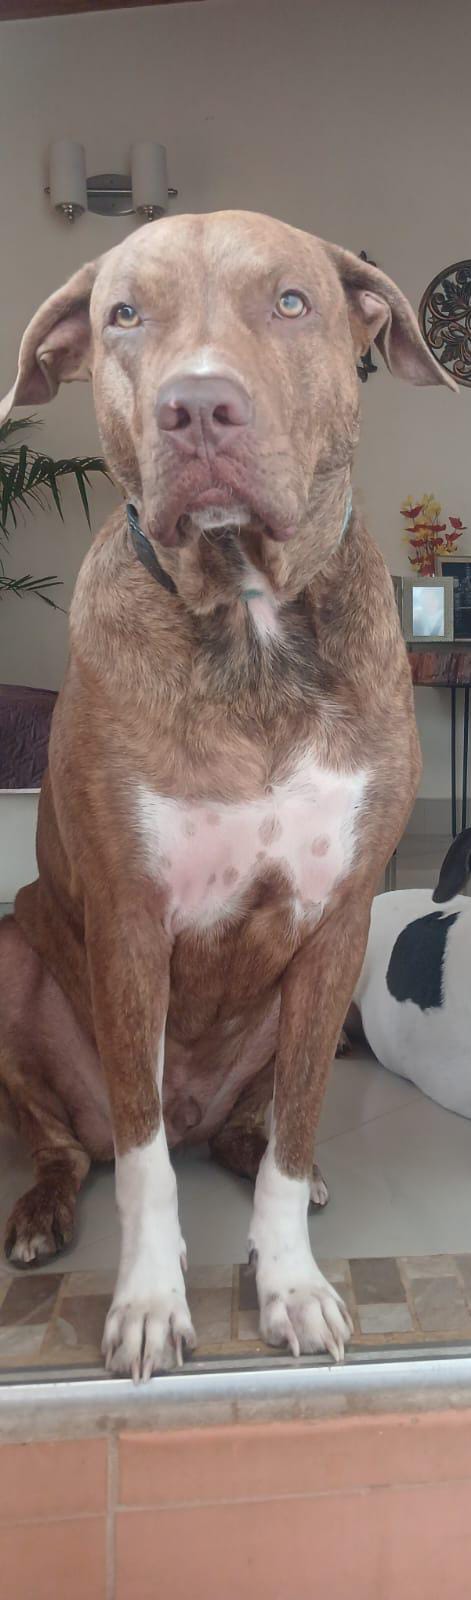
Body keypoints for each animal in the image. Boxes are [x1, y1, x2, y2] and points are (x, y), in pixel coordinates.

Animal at [0, 211, 455, 1378]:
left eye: (290, 301)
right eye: (124, 313)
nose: (197, 405)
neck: (249, 626)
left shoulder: (338, 921)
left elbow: (295, 1132)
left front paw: (288, 1282)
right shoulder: (130, 918)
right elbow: (143, 1161)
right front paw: (151, 1302)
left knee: (257, 1127)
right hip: (13, 949)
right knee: (78, 1140)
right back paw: (41, 1212)